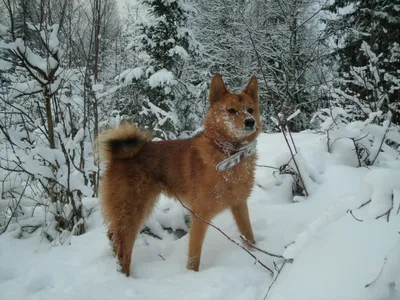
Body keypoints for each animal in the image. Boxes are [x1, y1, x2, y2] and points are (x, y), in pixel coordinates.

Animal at [99, 74, 262, 276]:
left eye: (250, 109)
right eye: (231, 111)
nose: (250, 121)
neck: (229, 155)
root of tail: (118, 156)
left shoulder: (239, 204)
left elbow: (249, 236)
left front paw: (258, 255)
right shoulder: (200, 215)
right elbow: (194, 256)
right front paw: (192, 276)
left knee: (113, 237)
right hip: (132, 212)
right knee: (123, 249)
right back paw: (125, 276)